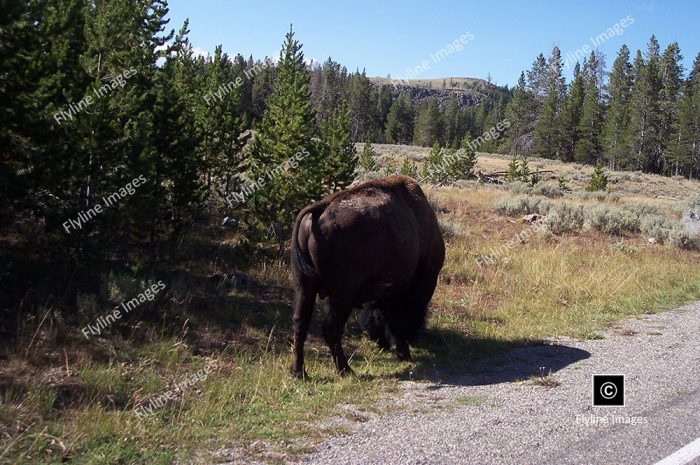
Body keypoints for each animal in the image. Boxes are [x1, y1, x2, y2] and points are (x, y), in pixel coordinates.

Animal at [288, 174, 442, 376]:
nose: (380, 343)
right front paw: (404, 353)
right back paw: (346, 369)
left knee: (300, 322)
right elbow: (395, 321)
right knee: (331, 328)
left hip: (304, 285)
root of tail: (320, 209)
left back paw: (299, 372)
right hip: (343, 294)